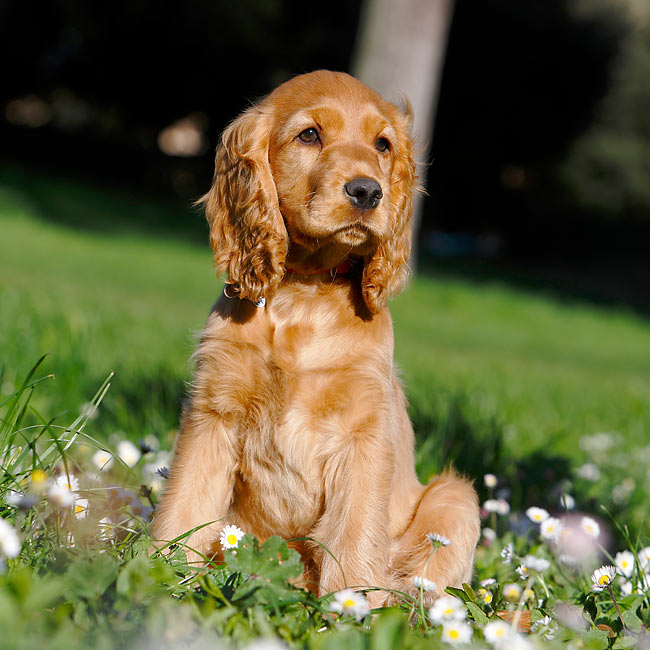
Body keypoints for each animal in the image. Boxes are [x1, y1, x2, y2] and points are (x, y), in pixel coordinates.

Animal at [151, 69, 476, 604]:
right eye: (309, 135)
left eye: (383, 145)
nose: (368, 192)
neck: (305, 293)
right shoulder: (214, 414)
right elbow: (185, 508)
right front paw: (158, 579)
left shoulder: (364, 434)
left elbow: (354, 534)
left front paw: (351, 606)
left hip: (455, 498)